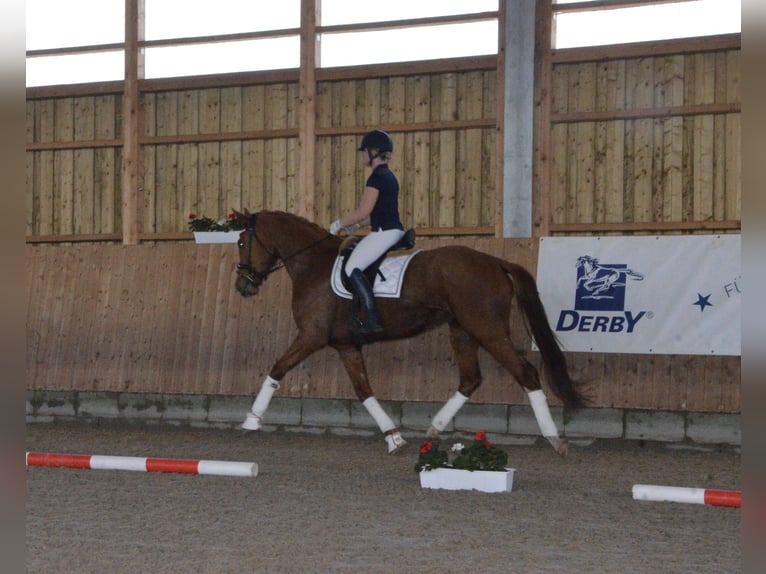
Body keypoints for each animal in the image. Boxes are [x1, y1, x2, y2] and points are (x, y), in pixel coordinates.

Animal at [232, 209, 588, 456]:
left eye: (241, 242)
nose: (242, 287)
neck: (312, 263)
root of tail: (494, 261)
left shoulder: (312, 337)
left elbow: (277, 369)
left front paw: (251, 420)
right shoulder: (346, 346)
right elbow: (363, 390)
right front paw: (394, 437)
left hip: (487, 329)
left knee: (526, 373)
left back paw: (554, 439)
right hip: (462, 331)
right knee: (470, 379)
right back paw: (434, 429)